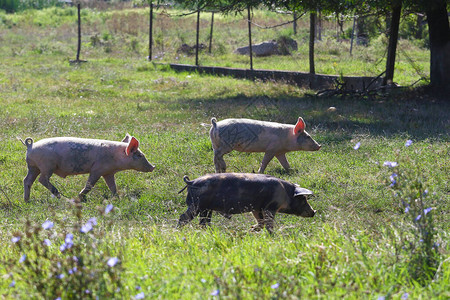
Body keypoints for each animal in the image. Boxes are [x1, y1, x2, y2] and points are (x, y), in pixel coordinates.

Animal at [20, 135, 155, 202]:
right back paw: (61, 197)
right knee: (42, 179)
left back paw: (26, 200)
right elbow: (90, 184)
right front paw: (78, 198)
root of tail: (30, 146)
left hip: (33, 167)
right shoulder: (97, 169)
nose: (153, 166)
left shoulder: (108, 172)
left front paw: (117, 198)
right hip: (47, 166)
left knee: (27, 180)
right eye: (140, 155)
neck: (115, 157)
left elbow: (112, 186)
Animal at [177, 172, 316, 233]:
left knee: (204, 222)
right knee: (184, 217)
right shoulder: (270, 207)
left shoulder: (257, 208)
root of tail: (191, 181)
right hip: (197, 206)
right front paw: (271, 234)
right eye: (303, 199)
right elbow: (268, 222)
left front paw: (252, 229)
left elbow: (260, 221)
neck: (285, 193)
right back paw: (177, 230)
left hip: (206, 209)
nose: (314, 212)